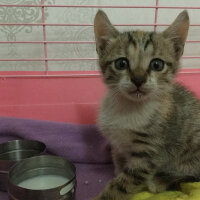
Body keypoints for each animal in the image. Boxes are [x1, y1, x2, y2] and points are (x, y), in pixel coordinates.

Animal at [93, 9, 200, 200]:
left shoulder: (149, 152)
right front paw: (117, 170)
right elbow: (119, 161)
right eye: (121, 63)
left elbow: (123, 183)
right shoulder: (117, 144)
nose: (138, 79)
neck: (129, 108)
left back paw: (160, 180)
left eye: (157, 64)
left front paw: (106, 195)